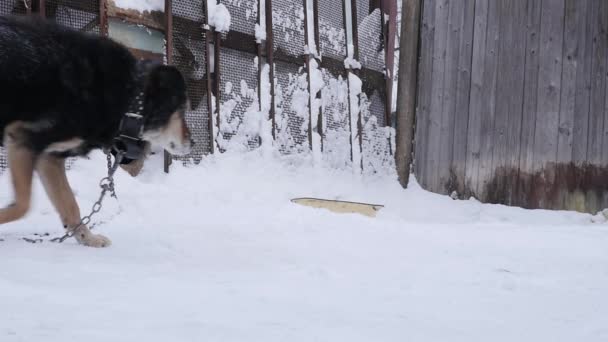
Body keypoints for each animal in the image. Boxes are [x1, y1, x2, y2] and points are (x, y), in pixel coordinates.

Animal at [0, 16, 192, 247]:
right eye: (181, 110)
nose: (193, 143)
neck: (129, 95)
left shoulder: (48, 157)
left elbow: (70, 206)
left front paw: (88, 239)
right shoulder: (23, 138)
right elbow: (23, 206)